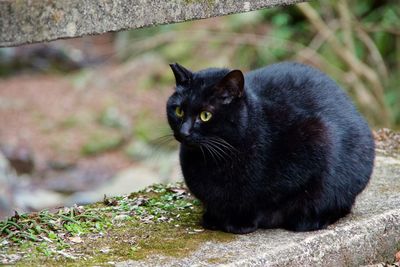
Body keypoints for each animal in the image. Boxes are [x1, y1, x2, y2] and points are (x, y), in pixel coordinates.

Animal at [165, 62, 376, 234]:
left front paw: (240, 222)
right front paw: (214, 218)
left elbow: (267, 201)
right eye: (179, 111)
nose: (183, 132)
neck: (215, 160)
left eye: (205, 115)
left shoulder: (317, 136)